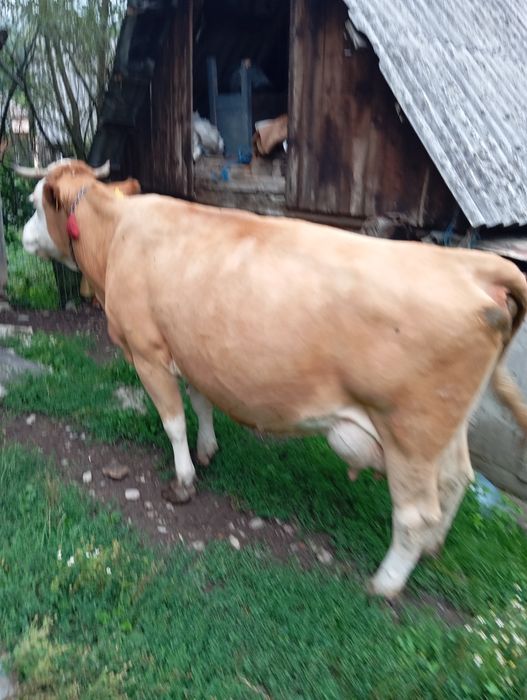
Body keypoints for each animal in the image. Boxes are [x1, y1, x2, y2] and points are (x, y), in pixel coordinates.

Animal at [16, 158, 527, 598]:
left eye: (34, 202)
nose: (21, 237)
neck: (116, 235)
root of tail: (473, 266)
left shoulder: (147, 351)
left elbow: (173, 422)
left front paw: (183, 480)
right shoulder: (192, 347)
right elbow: (201, 405)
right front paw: (208, 451)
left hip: (411, 432)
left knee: (417, 512)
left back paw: (385, 583)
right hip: (448, 426)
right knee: (457, 479)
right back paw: (434, 548)